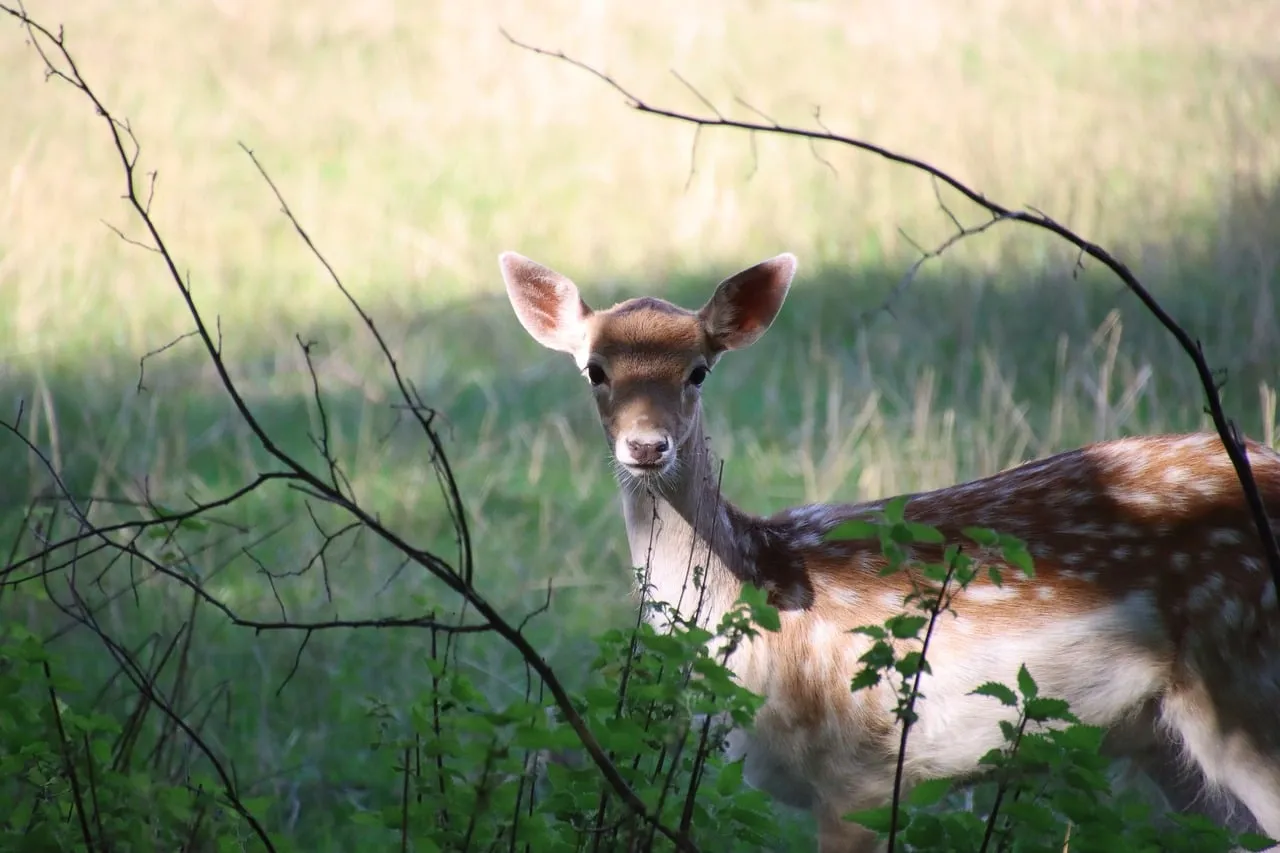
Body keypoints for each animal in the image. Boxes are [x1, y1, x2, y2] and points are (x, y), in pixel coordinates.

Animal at [497, 249, 1280, 852]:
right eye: (595, 369)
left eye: (698, 370)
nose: (646, 445)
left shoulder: (861, 772)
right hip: (1165, 740)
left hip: (1247, 690)